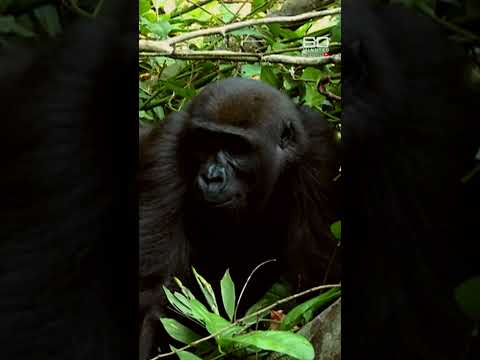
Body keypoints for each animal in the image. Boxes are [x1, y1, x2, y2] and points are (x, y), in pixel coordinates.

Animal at [139, 76, 342, 358]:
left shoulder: (318, 149)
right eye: (205, 142)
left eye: (237, 148)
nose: (212, 177)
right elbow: (152, 292)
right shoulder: (163, 150)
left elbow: (317, 277)